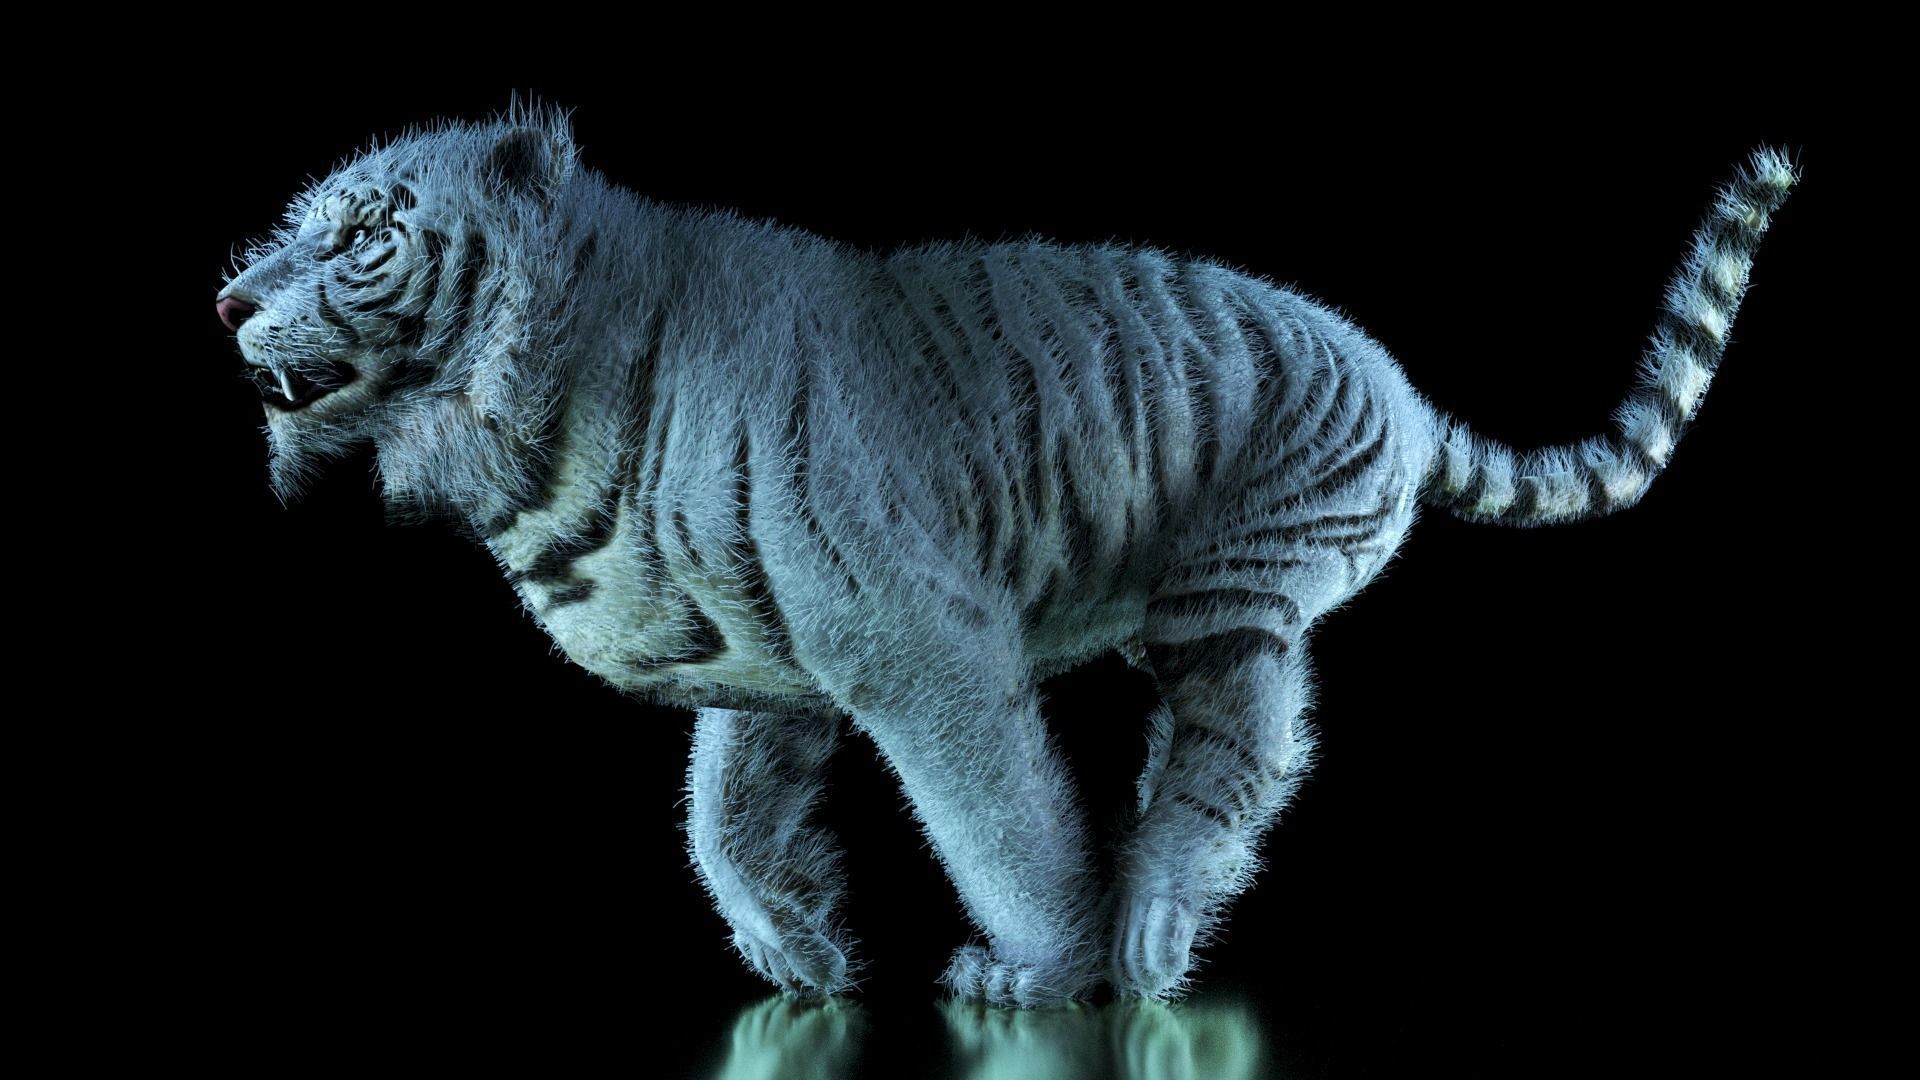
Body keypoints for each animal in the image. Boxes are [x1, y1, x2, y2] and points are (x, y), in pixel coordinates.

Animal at [216, 101, 1798, 1007]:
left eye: (357, 237)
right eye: (290, 228)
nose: (227, 297)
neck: (541, 416)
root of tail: (1400, 389)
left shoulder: (916, 645)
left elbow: (999, 823)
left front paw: (1046, 971)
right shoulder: (764, 658)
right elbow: (719, 821)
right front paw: (801, 953)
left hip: (1234, 593)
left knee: (1238, 749)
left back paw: (1151, 936)